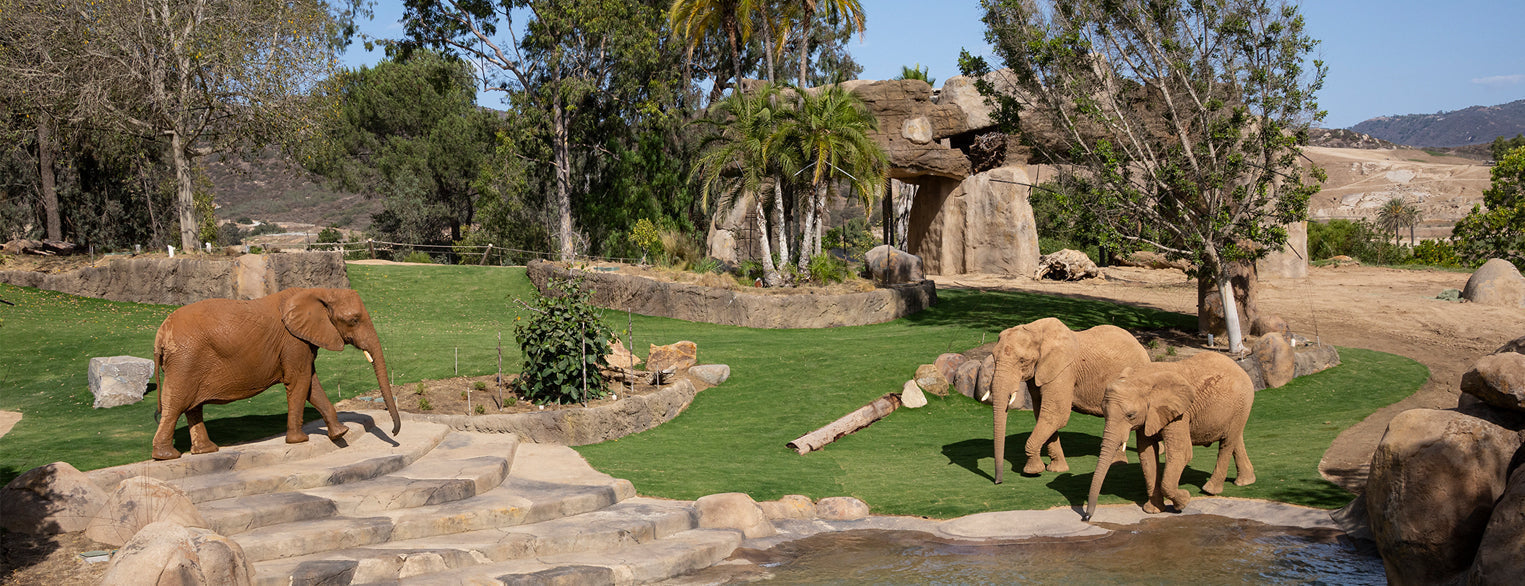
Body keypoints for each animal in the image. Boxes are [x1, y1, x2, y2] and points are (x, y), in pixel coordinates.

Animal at [150, 287, 400, 460]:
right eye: (354, 320)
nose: (395, 434)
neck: (320, 291)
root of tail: (160, 335)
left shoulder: (302, 341)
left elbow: (311, 384)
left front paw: (340, 433)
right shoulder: (293, 341)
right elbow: (300, 381)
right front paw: (300, 440)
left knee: (192, 407)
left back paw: (207, 451)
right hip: (185, 360)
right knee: (176, 403)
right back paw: (167, 456)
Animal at [990, 317, 1150, 482]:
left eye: (1022, 361)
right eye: (993, 357)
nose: (998, 481)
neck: (1035, 330)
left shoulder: (1064, 371)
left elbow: (1056, 415)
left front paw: (1032, 471)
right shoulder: (1039, 374)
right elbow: (1043, 414)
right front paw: (1057, 469)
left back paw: (1117, 465)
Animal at [1084, 351, 1256, 521]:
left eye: (1130, 415)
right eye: (1103, 411)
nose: (1086, 516)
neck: (1141, 378)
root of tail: (1239, 367)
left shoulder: (1180, 413)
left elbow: (1182, 453)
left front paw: (1184, 501)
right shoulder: (1149, 414)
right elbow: (1146, 454)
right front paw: (1153, 511)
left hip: (1242, 402)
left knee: (1227, 443)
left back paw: (1210, 490)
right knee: (1235, 439)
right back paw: (1245, 482)